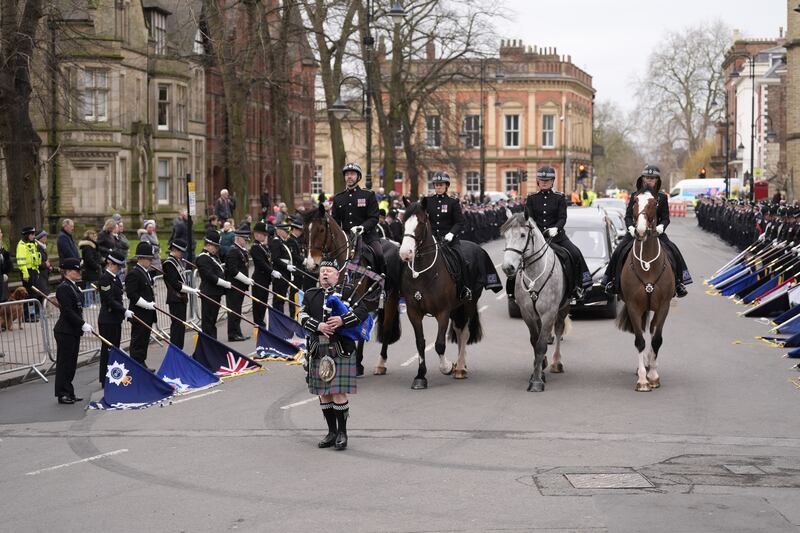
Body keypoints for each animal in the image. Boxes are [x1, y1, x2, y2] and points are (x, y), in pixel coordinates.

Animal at [398, 197, 484, 388]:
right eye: (403, 222)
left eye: (421, 222)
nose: (405, 253)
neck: (423, 274)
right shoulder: (413, 312)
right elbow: (420, 343)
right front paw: (420, 376)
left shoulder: (442, 312)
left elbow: (439, 344)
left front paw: (447, 367)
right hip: (456, 308)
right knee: (459, 331)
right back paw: (460, 364)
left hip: (469, 303)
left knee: (464, 333)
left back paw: (460, 368)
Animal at [500, 212, 568, 390]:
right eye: (505, 235)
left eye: (523, 235)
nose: (507, 267)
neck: (534, 272)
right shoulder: (528, 314)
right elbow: (534, 342)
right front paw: (539, 370)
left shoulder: (549, 313)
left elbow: (541, 345)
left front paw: (537, 381)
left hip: (563, 308)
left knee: (559, 330)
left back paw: (557, 362)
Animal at [620, 187, 676, 390]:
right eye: (635, 201)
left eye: (655, 203)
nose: (641, 231)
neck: (648, 264)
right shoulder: (634, 306)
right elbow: (640, 340)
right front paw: (643, 379)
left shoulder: (664, 306)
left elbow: (657, 339)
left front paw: (653, 375)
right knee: (645, 333)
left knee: (652, 332)